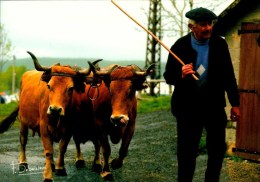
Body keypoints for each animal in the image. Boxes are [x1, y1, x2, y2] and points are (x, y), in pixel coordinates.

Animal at [0, 52, 101, 181]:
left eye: (70, 88)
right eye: (49, 86)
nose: (55, 110)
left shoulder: (68, 128)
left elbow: (62, 147)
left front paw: (60, 168)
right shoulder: (44, 127)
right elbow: (48, 151)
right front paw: (47, 175)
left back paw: (52, 165)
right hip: (23, 121)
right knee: (23, 140)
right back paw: (23, 163)